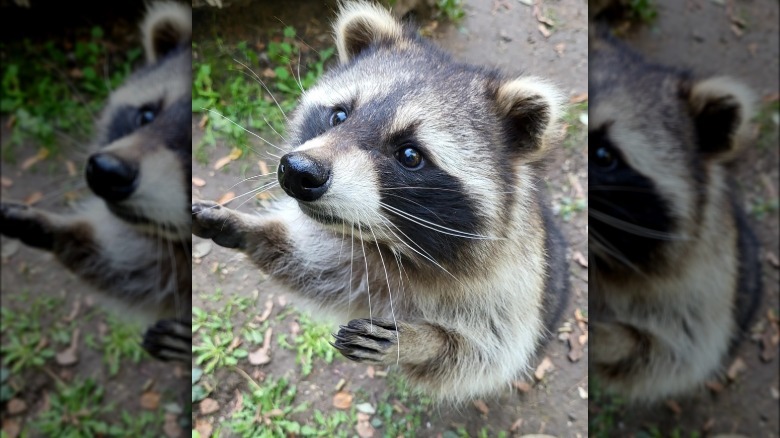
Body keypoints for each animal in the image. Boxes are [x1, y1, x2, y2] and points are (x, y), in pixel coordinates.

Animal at [192, 2, 569, 402]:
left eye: (410, 155)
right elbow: (315, 268)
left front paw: (422, 340)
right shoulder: (351, 252)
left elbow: (484, 356)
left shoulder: (510, 286)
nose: (298, 172)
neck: (391, 244)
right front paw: (249, 228)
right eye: (339, 115)